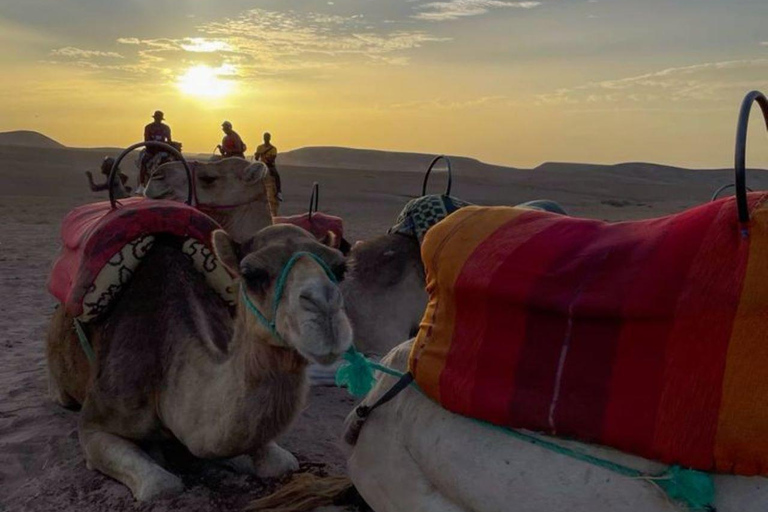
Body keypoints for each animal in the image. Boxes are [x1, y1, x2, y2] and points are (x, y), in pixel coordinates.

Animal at [46, 224, 352, 500]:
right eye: (251, 274)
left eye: (340, 269)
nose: (326, 309)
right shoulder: (95, 421)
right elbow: (161, 486)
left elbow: (281, 462)